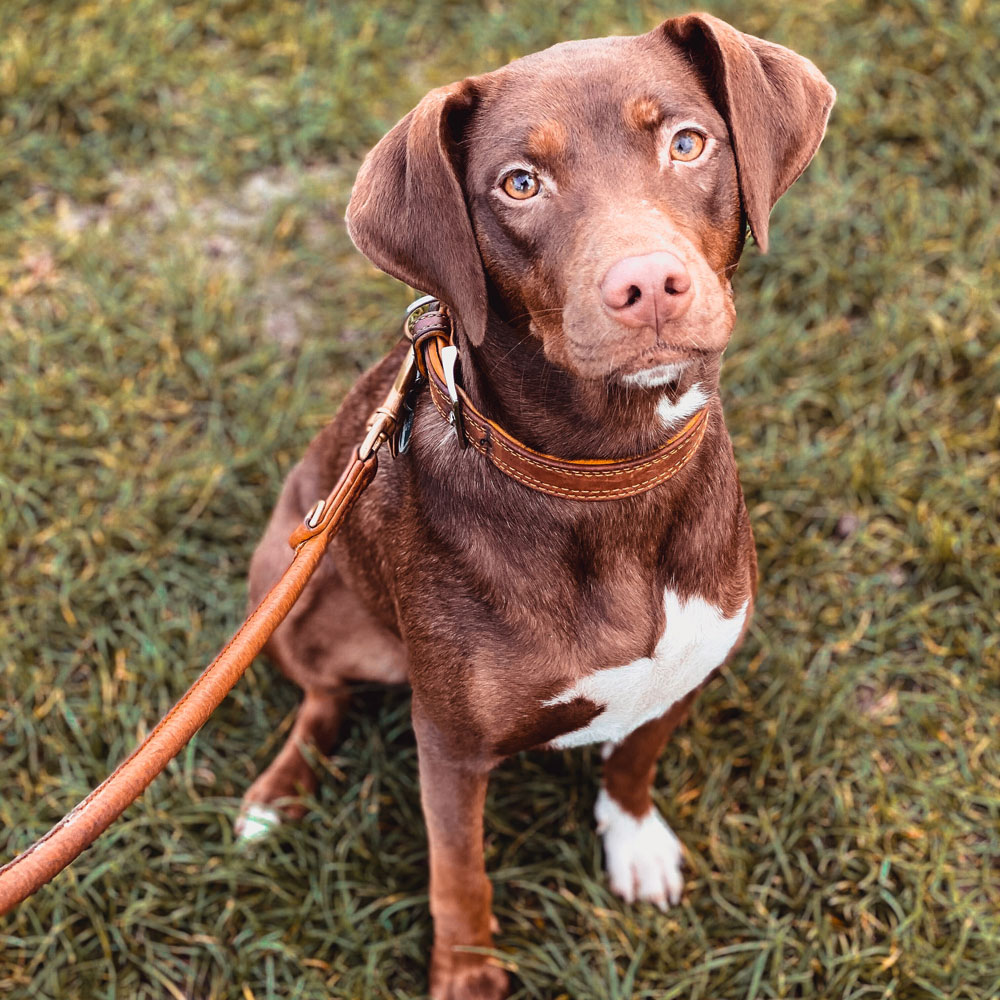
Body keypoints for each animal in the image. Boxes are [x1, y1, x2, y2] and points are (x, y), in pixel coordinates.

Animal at [234, 13, 834, 999]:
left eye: (687, 142)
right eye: (520, 183)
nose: (648, 285)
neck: (606, 475)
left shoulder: (688, 662)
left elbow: (635, 757)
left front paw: (634, 840)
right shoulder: (449, 744)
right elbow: (459, 871)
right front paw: (468, 972)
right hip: (294, 586)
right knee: (319, 696)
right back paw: (276, 797)